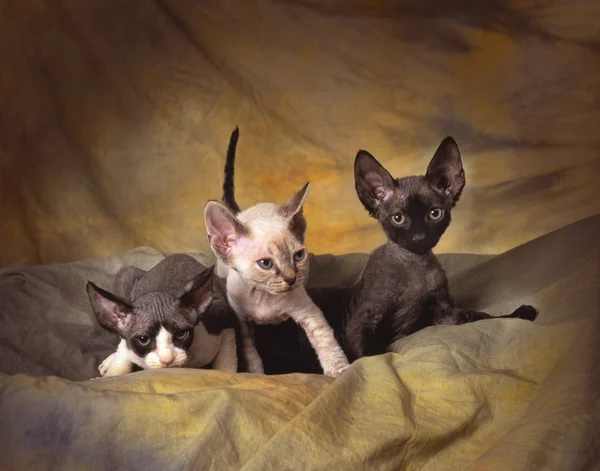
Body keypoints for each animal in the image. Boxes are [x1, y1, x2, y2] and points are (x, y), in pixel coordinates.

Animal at [88, 253, 238, 378]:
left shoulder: (223, 317)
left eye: (181, 334)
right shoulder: (128, 345)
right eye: (143, 340)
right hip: (125, 274)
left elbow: (225, 366)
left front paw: (225, 374)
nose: (167, 359)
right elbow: (120, 364)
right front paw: (110, 374)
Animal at [204, 128, 350, 380]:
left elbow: (326, 342)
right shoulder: (242, 323)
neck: (264, 298)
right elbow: (251, 354)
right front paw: (257, 375)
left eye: (298, 256)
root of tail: (243, 213)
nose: (291, 278)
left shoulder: (308, 313)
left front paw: (339, 371)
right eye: (265, 263)